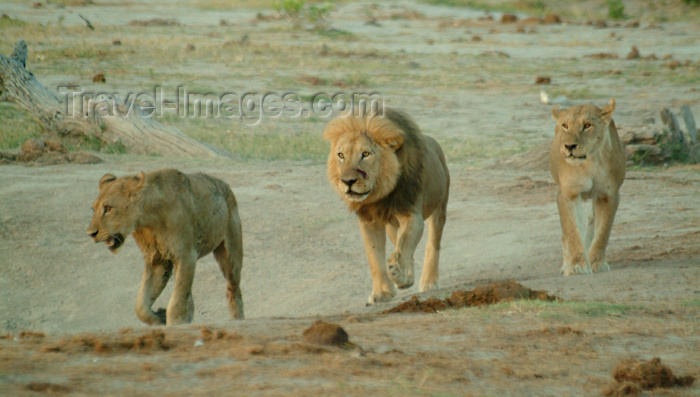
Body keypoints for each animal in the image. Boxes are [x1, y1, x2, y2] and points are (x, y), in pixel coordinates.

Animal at [87, 168, 243, 324]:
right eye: (93, 209)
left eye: (108, 208)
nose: (91, 233)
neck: (148, 220)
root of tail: (225, 185)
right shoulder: (157, 261)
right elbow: (140, 305)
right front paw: (158, 318)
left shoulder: (186, 256)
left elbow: (176, 304)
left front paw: (173, 323)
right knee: (190, 300)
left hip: (231, 255)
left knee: (233, 289)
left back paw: (238, 319)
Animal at [322, 106, 448, 302]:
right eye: (341, 155)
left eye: (365, 154)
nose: (348, 181)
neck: (380, 195)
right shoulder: (369, 222)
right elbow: (375, 257)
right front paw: (382, 292)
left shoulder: (411, 213)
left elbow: (405, 242)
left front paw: (397, 272)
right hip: (391, 225)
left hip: (440, 207)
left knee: (433, 245)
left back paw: (428, 282)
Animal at [548, 98, 628, 276]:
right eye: (565, 125)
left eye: (587, 125)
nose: (569, 146)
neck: (590, 162)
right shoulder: (568, 194)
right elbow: (572, 231)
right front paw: (577, 265)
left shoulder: (609, 195)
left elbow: (603, 232)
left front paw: (596, 262)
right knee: (567, 233)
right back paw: (567, 264)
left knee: (591, 221)